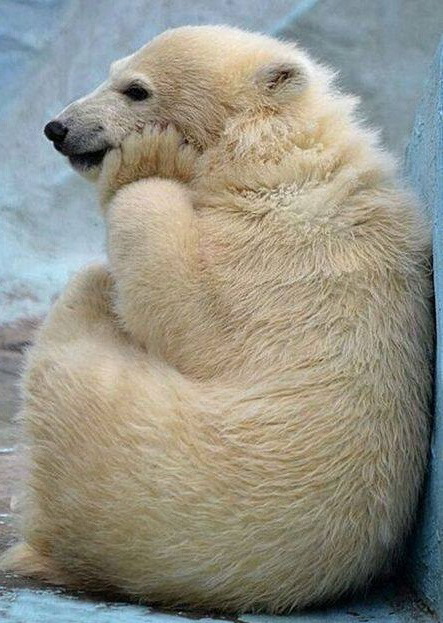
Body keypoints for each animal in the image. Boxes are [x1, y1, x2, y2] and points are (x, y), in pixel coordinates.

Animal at [0, 25, 434, 616]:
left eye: (136, 89)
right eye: (111, 71)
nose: (56, 128)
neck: (272, 154)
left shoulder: (276, 249)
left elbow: (187, 306)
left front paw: (147, 159)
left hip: (130, 457)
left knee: (83, 309)